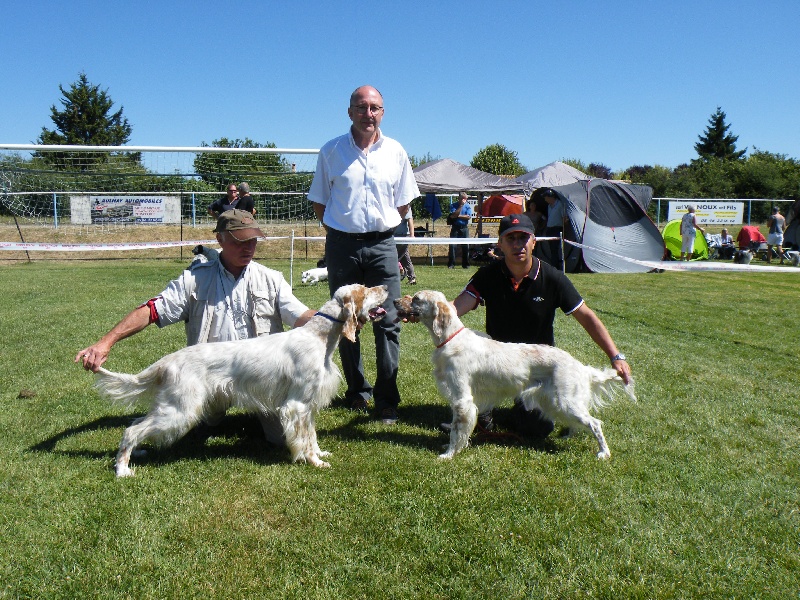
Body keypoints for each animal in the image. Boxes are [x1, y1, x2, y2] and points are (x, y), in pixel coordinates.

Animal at [94, 284, 388, 476]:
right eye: (367, 289)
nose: (385, 286)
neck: (319, 337)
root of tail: (168, 361)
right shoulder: (297, 405)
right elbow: (304, 440)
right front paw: (314, 462)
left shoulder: (309, 406)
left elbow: (312, 436)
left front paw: (319, 454)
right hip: (179, 410)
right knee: (132, 430)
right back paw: (122, 469)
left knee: (135, 425)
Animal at [396, 290, 636, 460]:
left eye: (416, 298)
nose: (396, 301)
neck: (451, 339)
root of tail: (579, 365)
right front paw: (450, 447)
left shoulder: (462, 399)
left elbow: (457, 430)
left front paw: (448, 454)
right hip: (557, 401)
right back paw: (569, 435)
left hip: (565, 400)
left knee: (595, 423)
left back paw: (603, 453)